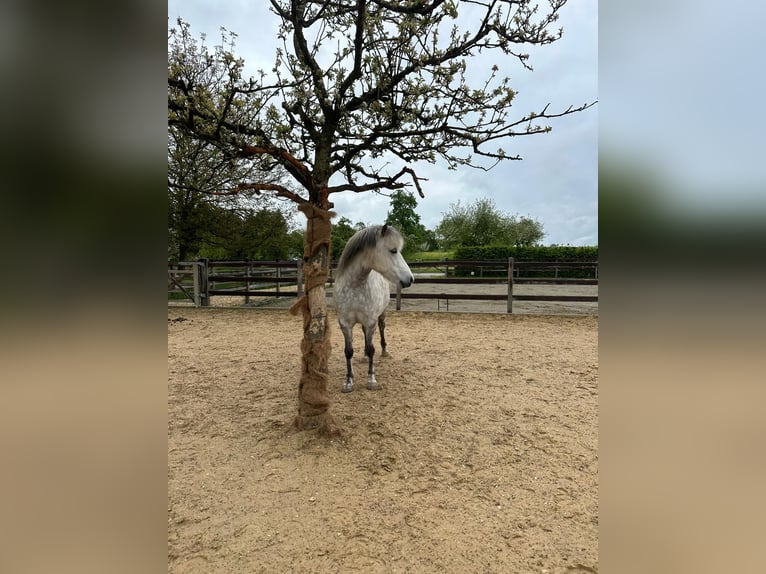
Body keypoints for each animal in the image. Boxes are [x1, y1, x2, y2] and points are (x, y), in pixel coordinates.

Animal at [334, 225, 414, 396]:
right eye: (393, 250)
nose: (410, 279)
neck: (355, 286)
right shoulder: (345, 324)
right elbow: (348, 351)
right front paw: (348, 381)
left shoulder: (371, 322)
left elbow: (372, 349)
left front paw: (371, 380)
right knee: (364, 334)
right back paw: (364, 356)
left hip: (381, 315)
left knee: (382, 329)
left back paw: (384, 351)